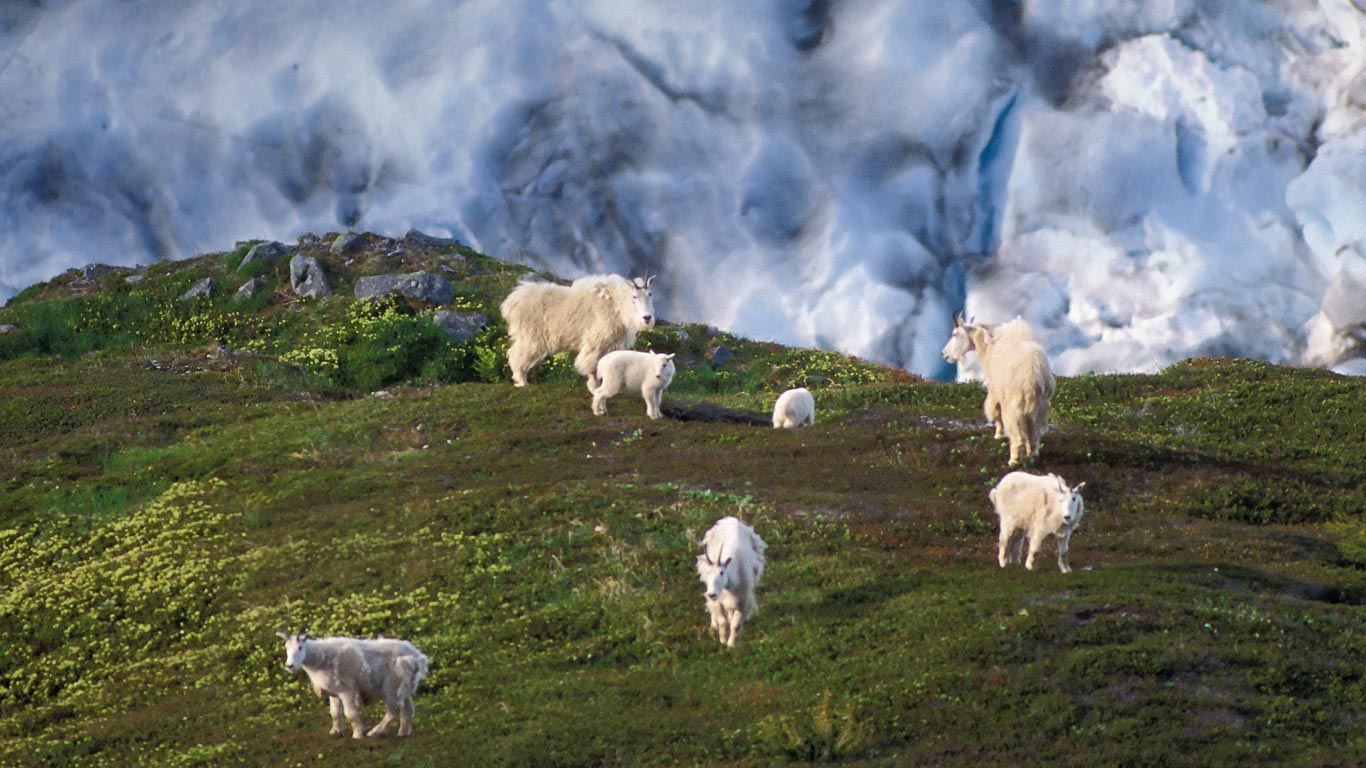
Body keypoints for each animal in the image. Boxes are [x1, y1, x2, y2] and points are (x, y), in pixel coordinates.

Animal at [273, 628, 426, 737]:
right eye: (286, 647)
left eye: (300, 647)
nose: (290, 665)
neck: (320, 660)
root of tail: (417, 657)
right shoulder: (333, 692)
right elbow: (335, 713)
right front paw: (335, 731)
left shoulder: (346, 690)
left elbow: (350, 713)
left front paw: (358, 733)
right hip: (405, 685)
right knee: (408, 709)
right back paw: (403, 732)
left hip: (392, 686)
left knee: (393, 712)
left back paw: (375, 732)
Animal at [502, 271, 655, 385]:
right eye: (634, 297)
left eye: (650, 294)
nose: (647, 317)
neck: (617, 305)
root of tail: (510, 303)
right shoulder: (596, 343)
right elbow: (592, 366)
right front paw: (594, 387)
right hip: (531, 336)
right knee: (516, 354)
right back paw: (522, 382)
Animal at [693, 513, 770, 645]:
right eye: (707, 573)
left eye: (721, 572)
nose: (711, 594)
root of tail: (730, 519)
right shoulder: (718, 600)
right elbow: (722, 621)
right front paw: (723, 640)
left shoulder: (742, 599)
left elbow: (736, 624)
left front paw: (731, 644)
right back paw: (714, 625)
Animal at [939, 312, 1054, 467]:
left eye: (955, 334)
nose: (944, 354)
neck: (987, 344)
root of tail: (1033, 377)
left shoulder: (995, 390)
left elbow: (994, 411)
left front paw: (998, 434)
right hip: (1040, 407)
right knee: (1034, 433)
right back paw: (1032, 456)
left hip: (1014, 406)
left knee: (1017, 435)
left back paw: (1013, 460)